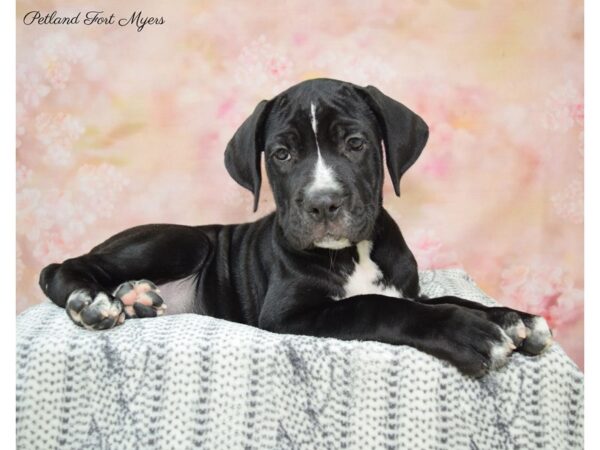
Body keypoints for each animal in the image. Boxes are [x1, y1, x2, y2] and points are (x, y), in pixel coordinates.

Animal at [38, 77, 552, 376]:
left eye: (355, 143)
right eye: (282, 154)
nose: (323, 204)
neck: (352, 252)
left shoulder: (407, 288)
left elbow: (446, 298)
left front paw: (513, 318)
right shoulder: (290, 314)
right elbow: (375, 307)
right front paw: (469, 332)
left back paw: (135, 297)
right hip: (183, 240)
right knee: (63, 267)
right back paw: (92, 302)